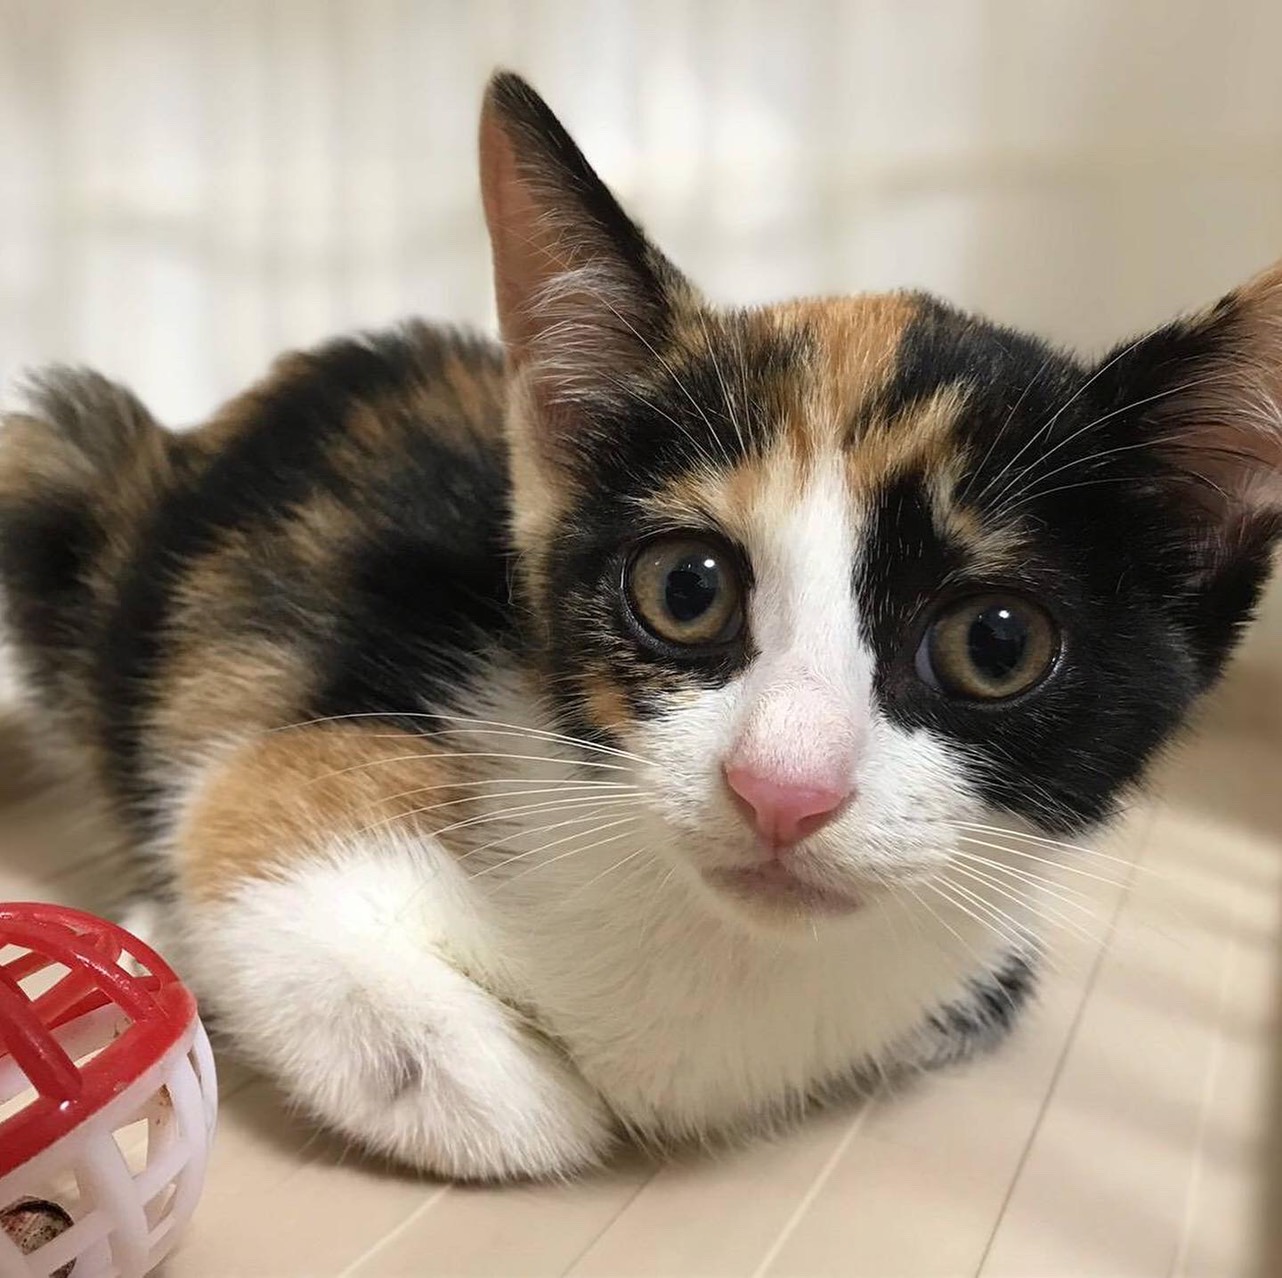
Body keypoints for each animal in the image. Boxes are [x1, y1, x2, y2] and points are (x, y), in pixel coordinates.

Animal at [0, 71, 1279, 1182]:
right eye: (686, 590)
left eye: (997, 644)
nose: (783, 791)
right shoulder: (293, 743)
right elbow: (251, 857)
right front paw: (169, 930)